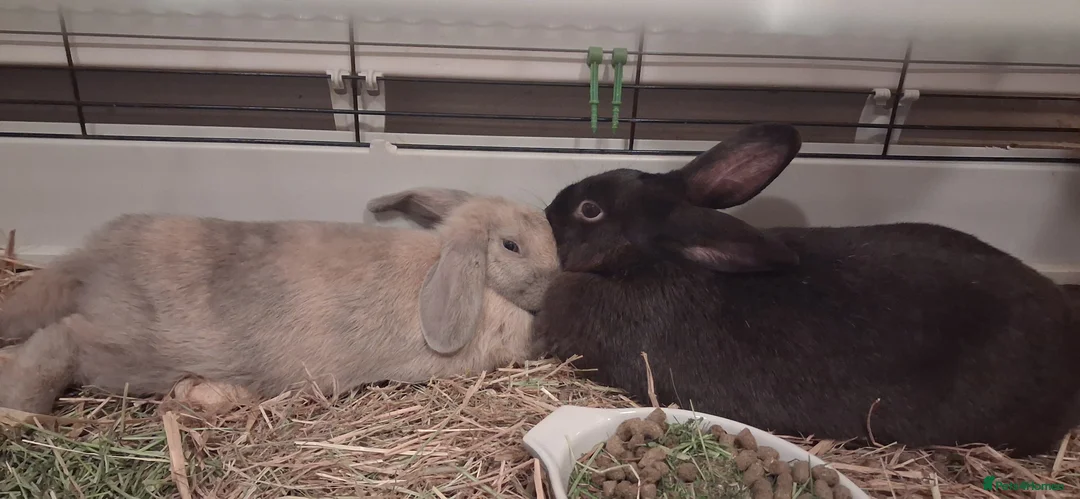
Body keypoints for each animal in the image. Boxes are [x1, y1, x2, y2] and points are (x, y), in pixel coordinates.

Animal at [0, 187, 559, 415]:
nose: (556, 279)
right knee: (61, 340)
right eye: (510, 246)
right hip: (129, 354)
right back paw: (22, 404)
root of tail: (93, 264)